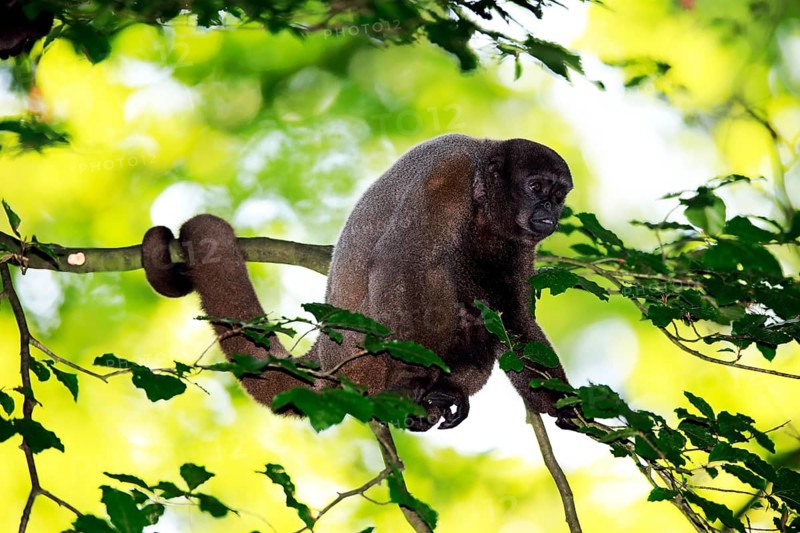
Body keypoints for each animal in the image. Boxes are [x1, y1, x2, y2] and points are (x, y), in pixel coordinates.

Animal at [142, 133, 575, 431]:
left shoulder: (518, 242)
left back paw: (448, 391)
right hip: (362, 355)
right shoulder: (446, 177)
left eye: (559, 196)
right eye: (536, 188)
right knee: (433, 272)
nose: (549, 214)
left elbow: (512, 313)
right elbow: (401, 262)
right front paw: (412, 378)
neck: (482, 193)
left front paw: (568, 407)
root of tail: (323, 355)